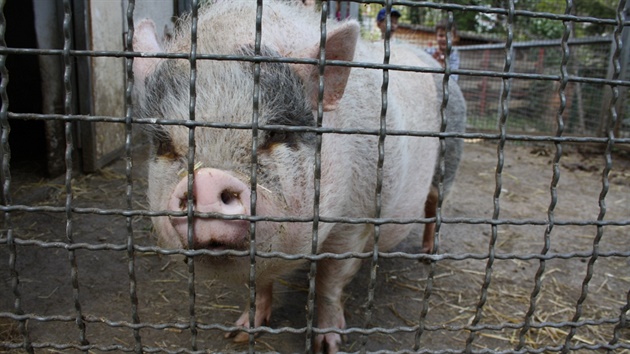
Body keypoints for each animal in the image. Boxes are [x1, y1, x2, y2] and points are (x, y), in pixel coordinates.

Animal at [131, 1, 464, 352]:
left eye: (276, 133)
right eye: (165, 145)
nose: (207, 179)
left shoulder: (354, 222)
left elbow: (330, 283)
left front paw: (328, 345)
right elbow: (259, 284)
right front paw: (239, 333)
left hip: (450, 157)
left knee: (434, 207)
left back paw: (427, 256)